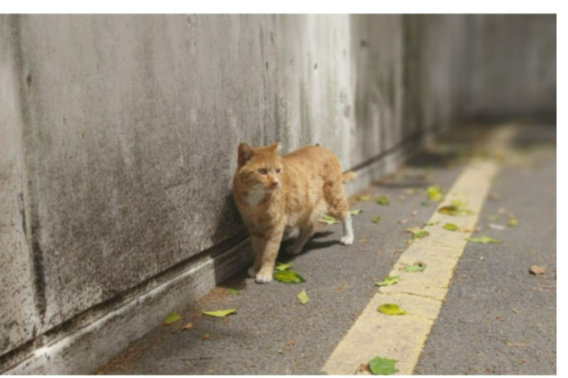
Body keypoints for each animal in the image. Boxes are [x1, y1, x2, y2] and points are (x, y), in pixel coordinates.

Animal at [233, 142, 352, 284]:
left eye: (278, 171)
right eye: (262, 171)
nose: (276, 182)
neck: (256, 198)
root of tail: (322, 147)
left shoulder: (275, 227)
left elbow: (269, 252)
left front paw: (264, 273)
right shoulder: (253, 227)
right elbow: (258, 250)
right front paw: (256, 267)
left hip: (333, 199)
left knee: (346, 214)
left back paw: (348, 237)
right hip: (304, 209)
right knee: (308, 229)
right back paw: (296, 247)